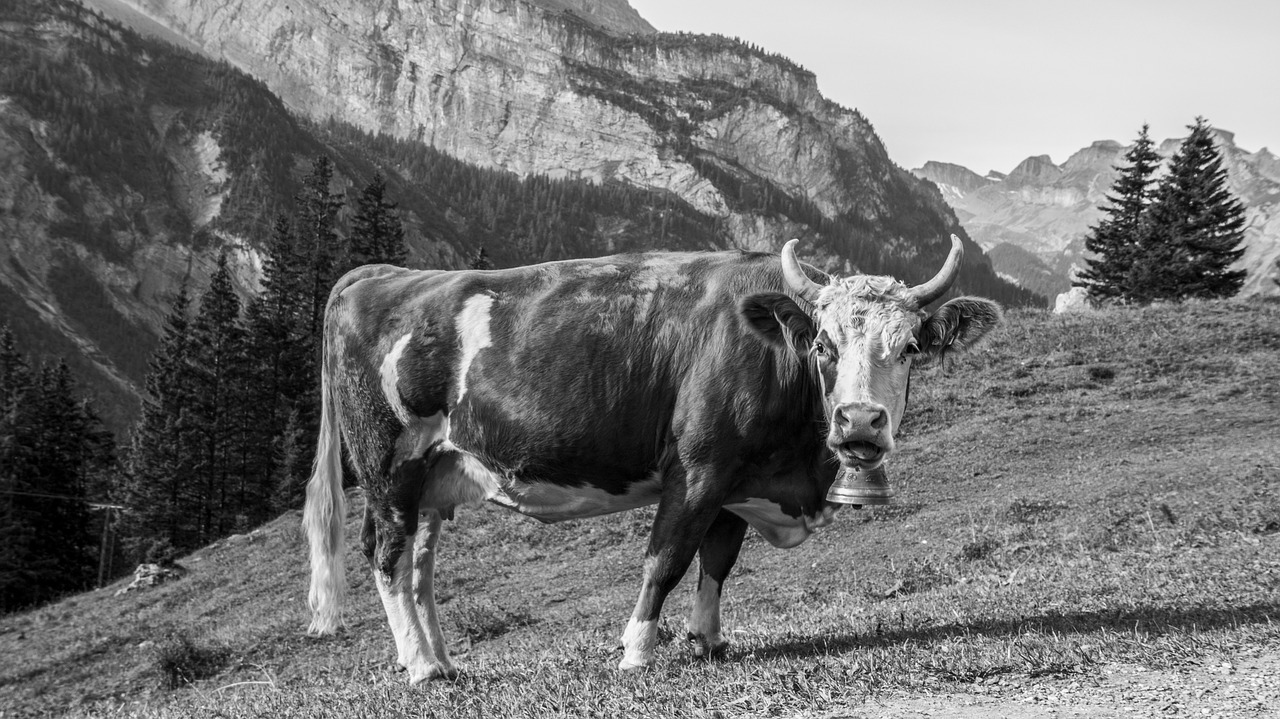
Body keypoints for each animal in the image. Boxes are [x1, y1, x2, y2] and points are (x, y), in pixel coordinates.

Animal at [302, 234, 998, 675]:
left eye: (910, 347)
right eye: (823, 344)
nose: (859, 421)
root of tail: (384, 274)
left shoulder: (735, 482)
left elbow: (717, 562)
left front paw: (708, 642)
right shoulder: (698, 468)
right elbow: (666, 558)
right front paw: (637, 652)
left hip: (435, 475)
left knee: (419, 565)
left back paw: (443, 663)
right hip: (390, 466)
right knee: (387, 556)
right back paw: (421, 667)